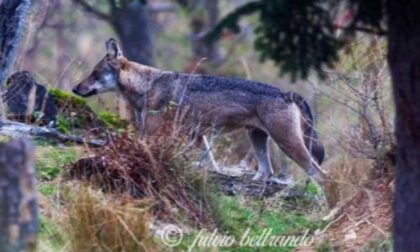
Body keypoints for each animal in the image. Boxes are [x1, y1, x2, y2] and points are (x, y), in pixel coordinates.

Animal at [74, 39, 326, 185]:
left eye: (95, 73)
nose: (75, 89)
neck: (147, 85)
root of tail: (286, 92)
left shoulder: (159, 134)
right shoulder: (200, 136)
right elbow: (207, 163)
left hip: (288, 145)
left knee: (320, 176)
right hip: (257, 140)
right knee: (266, 173)